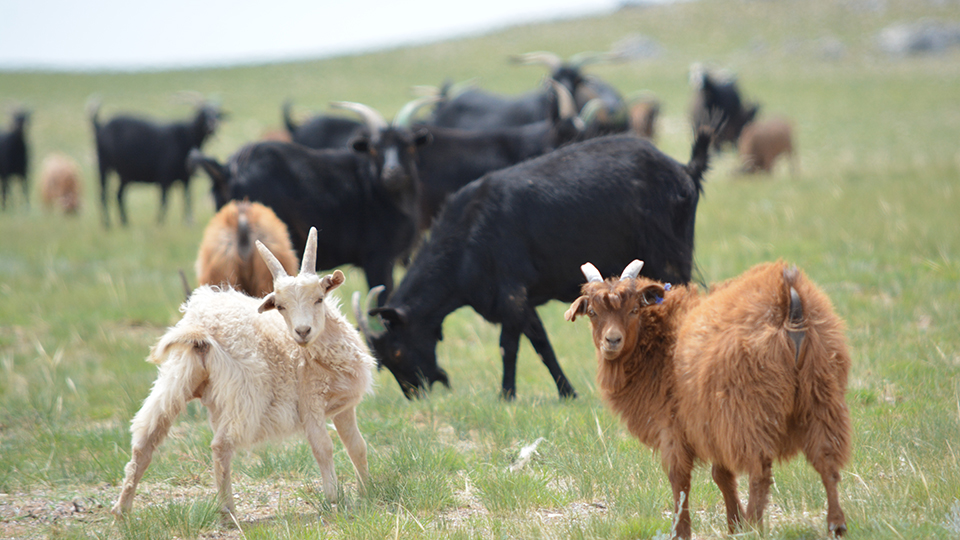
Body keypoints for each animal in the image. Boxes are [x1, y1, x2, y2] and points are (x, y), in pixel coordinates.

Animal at [90, 100, 223, 227]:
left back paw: (125, 223)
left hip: (125, 175)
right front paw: (160, 223)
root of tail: (100, 126)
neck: (185, 136)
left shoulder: (186, 179)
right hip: (103, 165)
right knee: (103, 194)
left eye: (216, 114)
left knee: (118, 195)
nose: (212, 125)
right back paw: (107, 224)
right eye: (203, 113)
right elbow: (164, 201)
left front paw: (188, 223)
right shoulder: (164, 177)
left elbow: (187, 200)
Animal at [112, 227, 376, 518]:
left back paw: (122, 510)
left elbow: (357, 446)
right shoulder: (311, 403)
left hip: (176, 378)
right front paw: (334, 499)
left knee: (145, 441)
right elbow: (324, 447)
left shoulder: (342, 407)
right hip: (245, 391)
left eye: (319, 298)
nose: (302, 331)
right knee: (221, 445)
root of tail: (202, 329)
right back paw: (227, 510)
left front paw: (367, 493)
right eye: (280, 306)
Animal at [565, 260, 851, 539]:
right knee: (827, 458)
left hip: (751, 406)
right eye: (593, 313)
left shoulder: (674, 424)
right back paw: (836, 524)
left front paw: (682, 531)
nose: (612, 341)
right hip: (821, 391)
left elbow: (679, 478)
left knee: (760, 469)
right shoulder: (709, 422)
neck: (662, 341)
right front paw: (733, 524)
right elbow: (721, 474)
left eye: (635, 309)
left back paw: (754, 526)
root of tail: (786, 291)